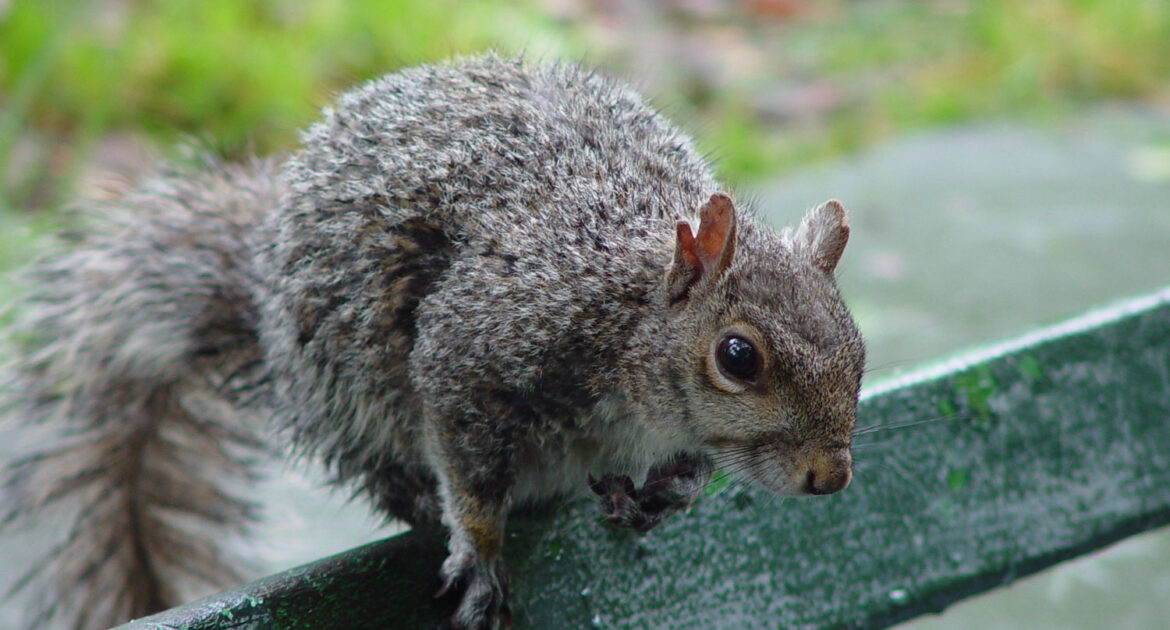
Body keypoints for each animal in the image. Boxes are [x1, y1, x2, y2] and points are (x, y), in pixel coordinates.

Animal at [0, 54, 865, 630]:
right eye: (737, 358)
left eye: (857, 350)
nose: (830, 477)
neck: (625, 307)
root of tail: (262, 300)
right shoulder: (476, 351)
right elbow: (468, 467)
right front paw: (479, 552)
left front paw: (673, 489)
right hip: (346, 390)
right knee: (377, 464)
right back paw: (423, 499)